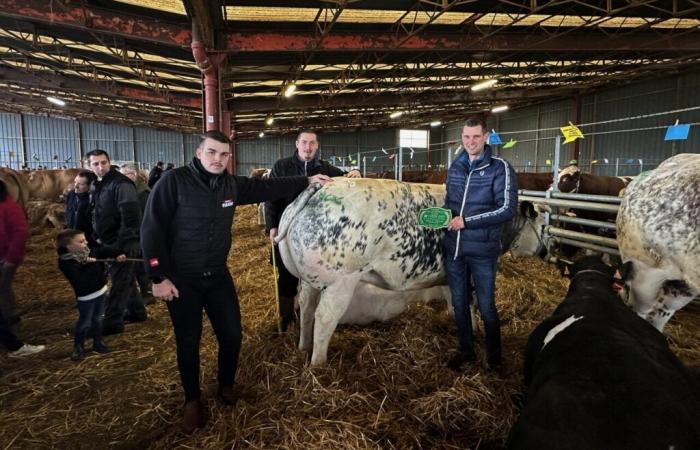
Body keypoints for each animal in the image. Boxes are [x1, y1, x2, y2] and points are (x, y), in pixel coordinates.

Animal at [276, 177, 548, 366]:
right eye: (544, 225)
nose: (547, 251)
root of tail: (320, 189)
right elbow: (471, 306)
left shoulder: (449, 277)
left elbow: (456, 305)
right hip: (341, 281)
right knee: (324, 318)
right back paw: (318, 365)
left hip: (308, 278)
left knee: (307, 308)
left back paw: (303, 347)